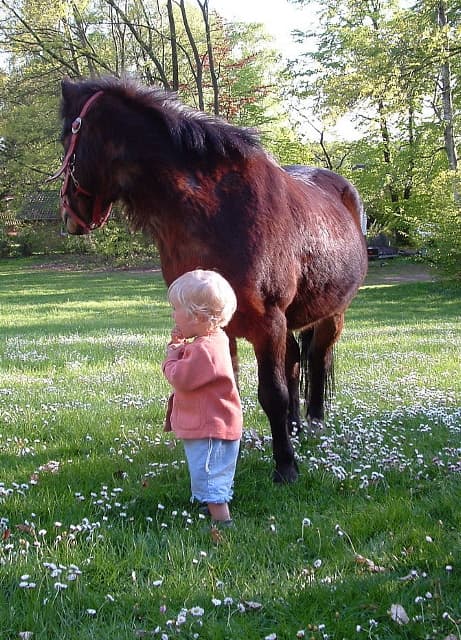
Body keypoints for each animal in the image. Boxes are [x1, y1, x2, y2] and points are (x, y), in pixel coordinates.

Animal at [50, 76, 366, 480]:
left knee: (317, 359)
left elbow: (272, 394)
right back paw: (295, 427)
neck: (218, 210)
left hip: (331, 315)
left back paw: (313, 422)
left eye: (66, 137)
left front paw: (285, 466)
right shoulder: (225, 327)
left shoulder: (268, 322)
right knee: (295, 363)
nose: (69, 214)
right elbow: (228, 388)